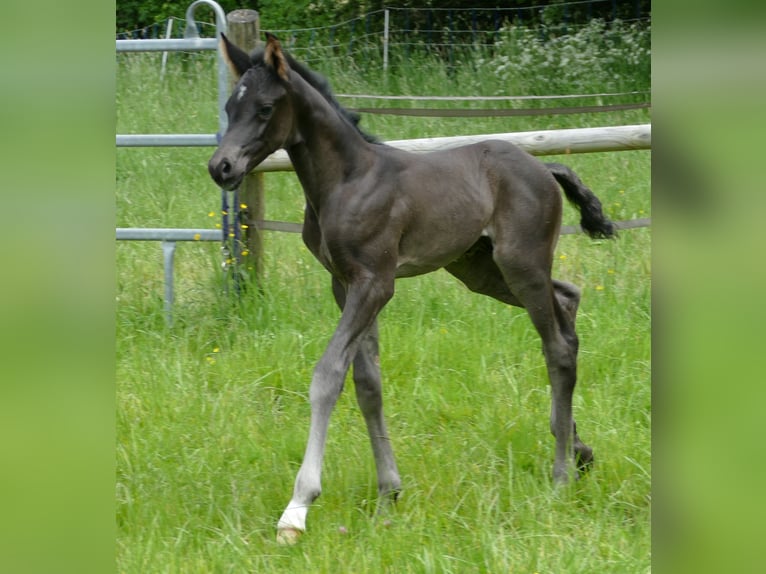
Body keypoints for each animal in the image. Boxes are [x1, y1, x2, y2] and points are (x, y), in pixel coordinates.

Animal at [207, 31, 616, 544]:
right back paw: (579, 448)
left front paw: (297, 509)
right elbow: (367, 383)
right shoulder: (344, 284)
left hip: (520, 264)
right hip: (481, 270)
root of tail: (545, 169)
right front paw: (389, 494)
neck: (346, 181)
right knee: (568, 298)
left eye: (264, 108)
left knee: (557, 345)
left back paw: (561, 474)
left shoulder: (375, 283)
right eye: (229, 107)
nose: (220, 167)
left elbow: (328, 375)